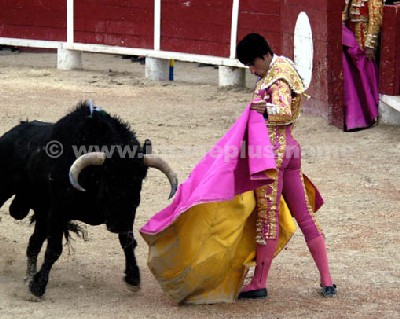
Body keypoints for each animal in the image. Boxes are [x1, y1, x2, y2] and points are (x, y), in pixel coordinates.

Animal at [0, 101, 178, 298]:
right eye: (108, 180)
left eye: (137, 182)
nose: (116, 225)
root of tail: (10, 134)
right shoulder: (58, 211)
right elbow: (54, 249)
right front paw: (38, 286)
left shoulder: (128, 212)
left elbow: (128, 241)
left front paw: (133, 278)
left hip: (40, 210)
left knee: (34, 242)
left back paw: (28, 276)